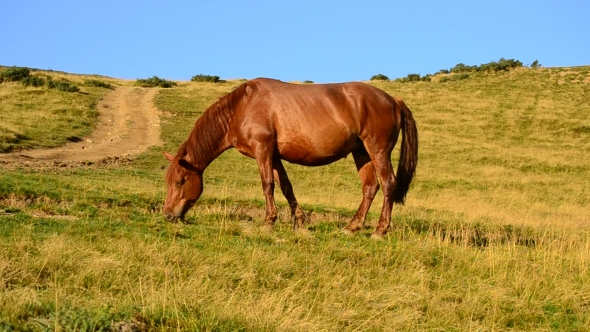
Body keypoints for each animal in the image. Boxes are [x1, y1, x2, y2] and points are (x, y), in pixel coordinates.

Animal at [164, 78, 418, 239]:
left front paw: (269, 221)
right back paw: (352, 227)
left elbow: (268, 184)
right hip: (361, 152)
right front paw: (299, 221)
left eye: (180, 181)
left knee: (388, 184)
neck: (242, 107)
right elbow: (286, 186)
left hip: (377, 151)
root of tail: (393, 100)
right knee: (369, 187)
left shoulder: (262, 150)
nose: (167, 215)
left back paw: (379, 230)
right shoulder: (274, 155)